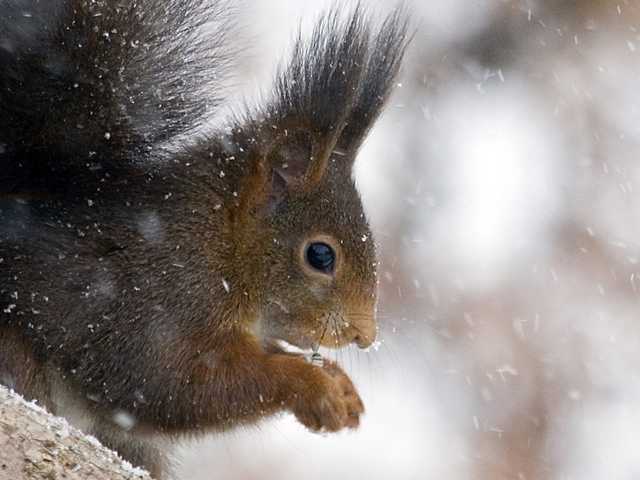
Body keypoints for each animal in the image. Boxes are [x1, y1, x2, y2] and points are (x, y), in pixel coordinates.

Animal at [0, 1, 410, 478]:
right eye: (321, 255)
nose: (365, 335)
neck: (222, 243)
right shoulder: (155, 301)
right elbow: (176, 386)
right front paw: (311, 386)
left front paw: (339, 383)